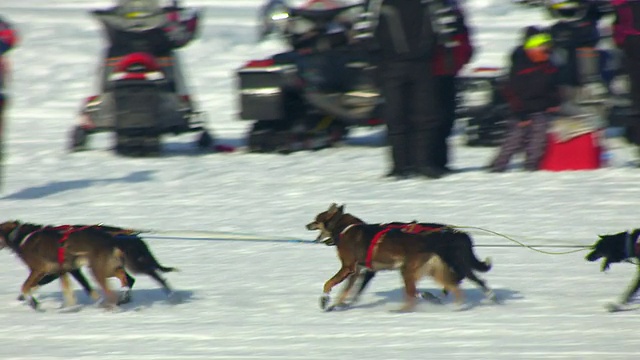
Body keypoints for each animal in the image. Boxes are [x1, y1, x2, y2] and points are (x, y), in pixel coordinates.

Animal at [0, 219, 129, 310]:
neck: (20, 237)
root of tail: (111, 239)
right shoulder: (62, 271)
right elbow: (68, 291)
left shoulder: (39, 270)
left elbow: (25, 287)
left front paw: (33, 303)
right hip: (107, 269)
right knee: (123, 277)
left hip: (99, 270)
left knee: (115, 289)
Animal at [308, 204, 498, 310]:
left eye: (316, 219)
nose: (307, 225)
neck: (345, 228)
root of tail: (459, 234)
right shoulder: (361, 271)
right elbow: (348, 292)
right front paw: (339, 304)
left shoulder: (348, 267)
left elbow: (329, 284)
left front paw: (326, 300)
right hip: (441, 268)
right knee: (467, 282)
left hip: (416, 269)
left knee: (419, 292)